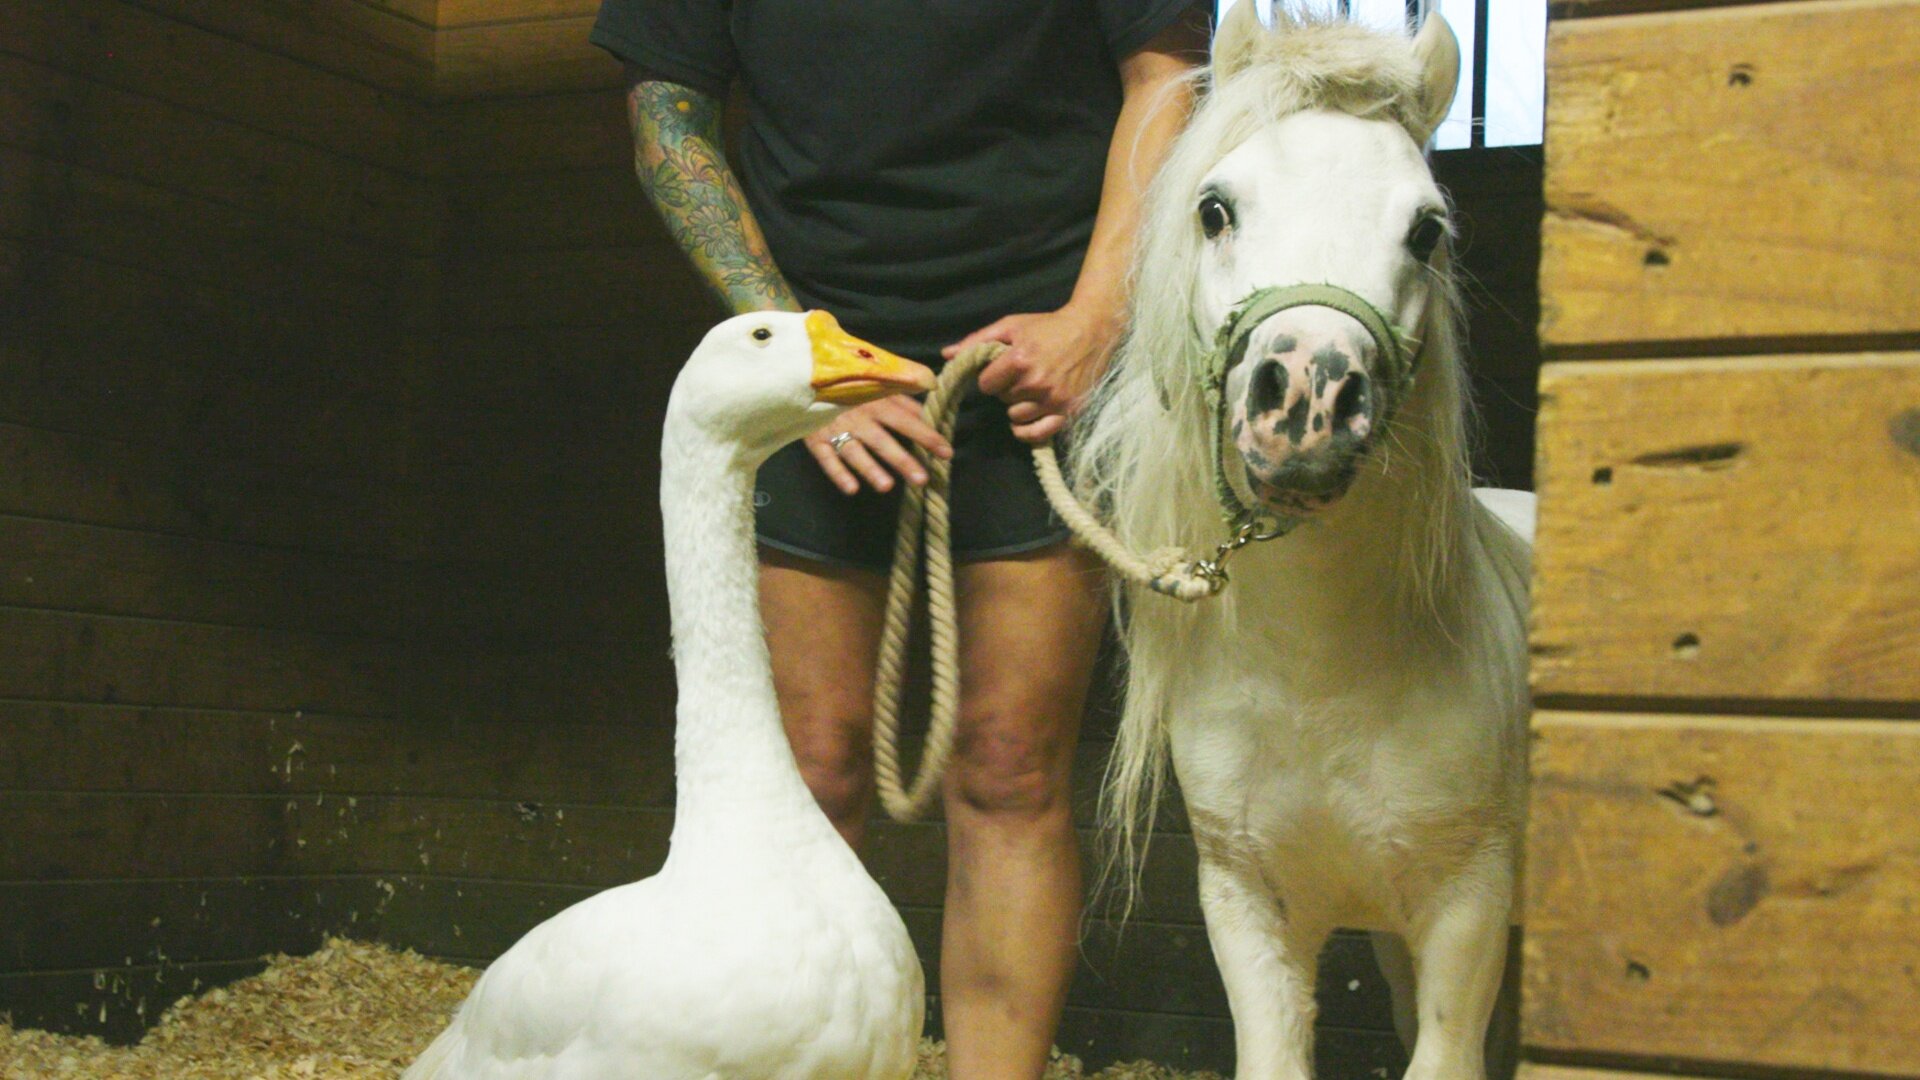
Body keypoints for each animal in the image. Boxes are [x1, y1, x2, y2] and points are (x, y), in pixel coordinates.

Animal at [1072, 7, 1534, 1079]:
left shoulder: (1469, 912)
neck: (1323, 677)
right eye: (1215, 209)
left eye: (1426, 229)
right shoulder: (1249, 909)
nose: (1310, 401)